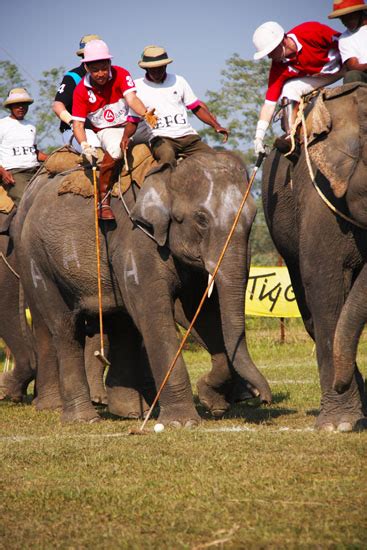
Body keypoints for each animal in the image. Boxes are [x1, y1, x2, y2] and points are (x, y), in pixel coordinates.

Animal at [14, 151, 272, 426]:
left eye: (253, 217)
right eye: (201, 219)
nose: (264, 398)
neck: (168, 174)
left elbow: (203, 316)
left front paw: (211, 400)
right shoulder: (137, 243)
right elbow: (154, 315)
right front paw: (182, 423)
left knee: (121, 323)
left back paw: (129, 412)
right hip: (36, 259)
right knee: (65, 327)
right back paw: (84, 419)